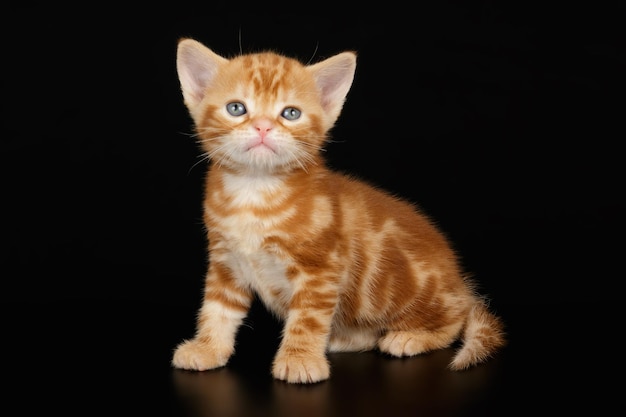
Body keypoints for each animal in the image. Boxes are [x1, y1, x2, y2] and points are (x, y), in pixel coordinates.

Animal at [172, 37, 508, 382]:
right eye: (236, 108)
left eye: (290, 113)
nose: (263, 127)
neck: (255, 193)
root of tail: (461, 286)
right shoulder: (226, 260)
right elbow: (217, 309)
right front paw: (208, 348)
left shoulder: (321, 269)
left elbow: (308, 318)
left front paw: (300, 359)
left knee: (455, 319)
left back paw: (410, 337)